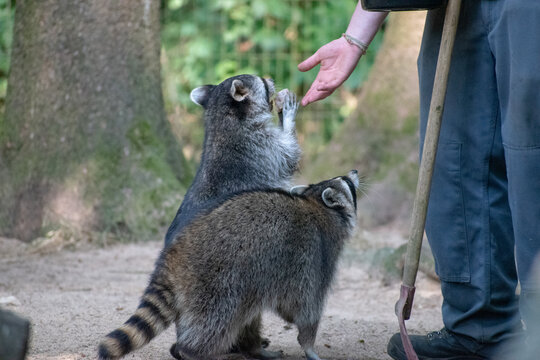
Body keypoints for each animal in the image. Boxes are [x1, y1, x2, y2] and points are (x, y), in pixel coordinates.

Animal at [99, 171, 360, 360]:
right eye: (347, 182)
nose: (355, 171)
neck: (315, 203)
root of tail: (174, 254)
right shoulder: (316, 253)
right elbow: (306, 305)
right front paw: (308, 345)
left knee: (246, 313)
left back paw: (252, 348)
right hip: (218, 278)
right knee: (218, 319)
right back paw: (192, 351)